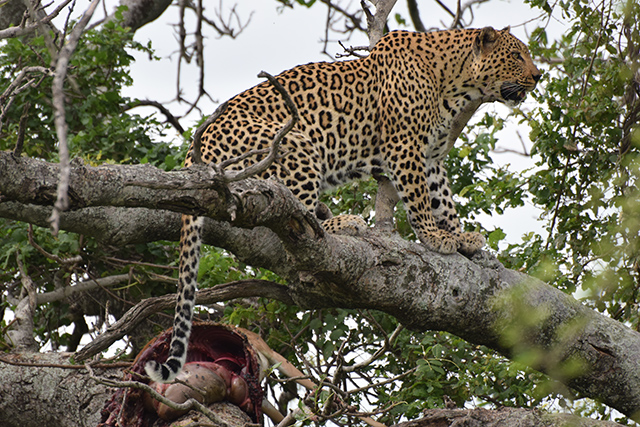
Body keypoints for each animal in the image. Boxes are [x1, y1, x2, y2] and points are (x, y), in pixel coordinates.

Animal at [145, 25, 540, 384]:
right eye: (516, 55)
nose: (538, 75)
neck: (454, 80)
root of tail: (197, 151)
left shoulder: (431, 157)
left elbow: (443, 198)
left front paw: (462, 238)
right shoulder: (406, 149)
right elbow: (420, 200)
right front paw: (434, 237)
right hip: (296, 144)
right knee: (295, 219)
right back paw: (343, 222)